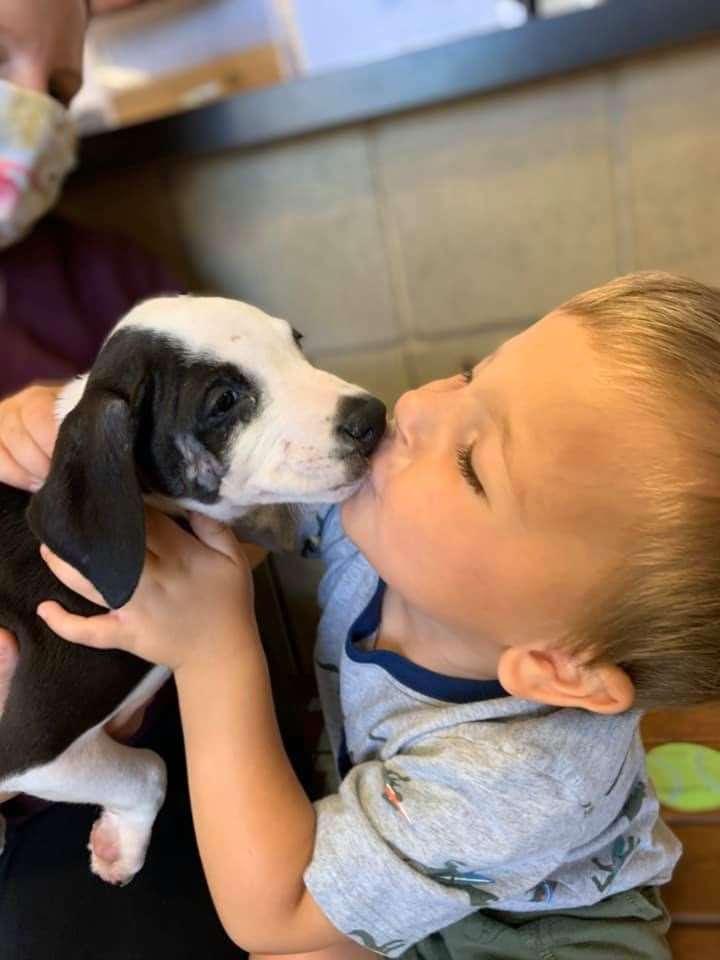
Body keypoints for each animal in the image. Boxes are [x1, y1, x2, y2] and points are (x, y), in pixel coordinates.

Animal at [0, 292, 388, 884]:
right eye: (224, 401)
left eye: (294, 343)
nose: (374, 419)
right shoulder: (27, 745)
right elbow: (149, 769)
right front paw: (123, 843)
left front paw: (120, 839)